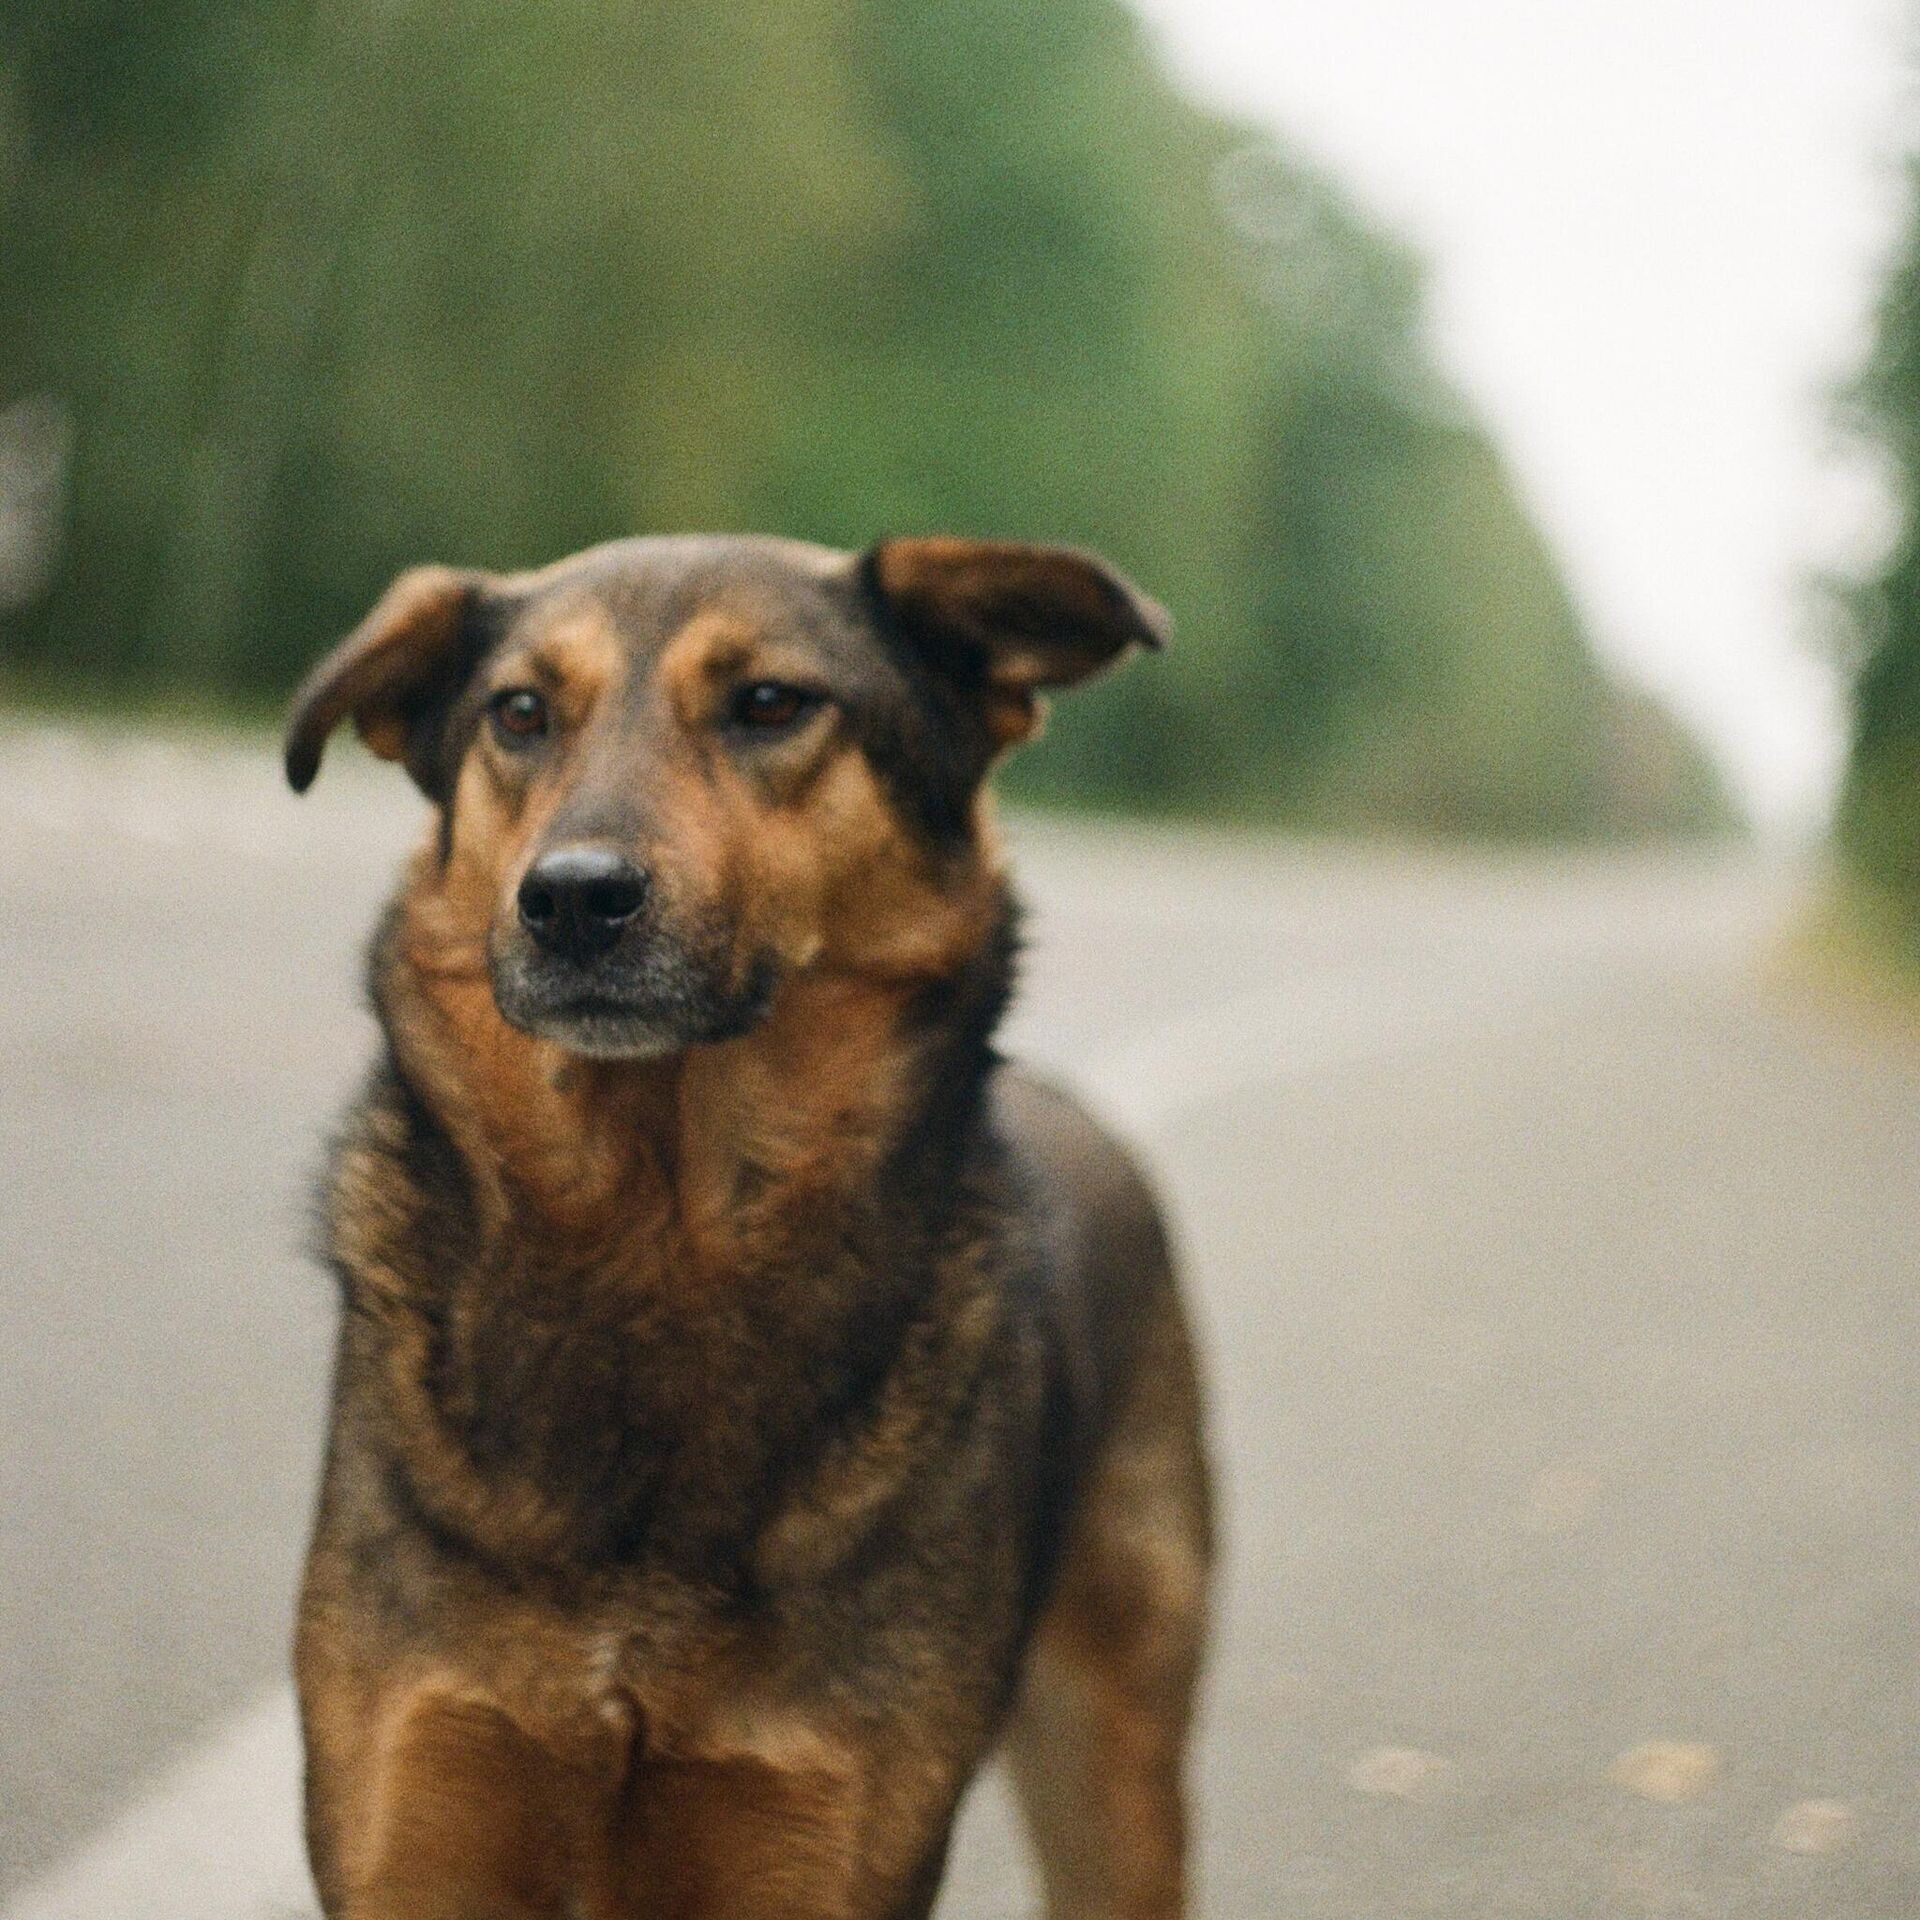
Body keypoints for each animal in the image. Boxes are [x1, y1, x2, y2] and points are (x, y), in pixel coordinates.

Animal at [280, 529, 1213, 1920]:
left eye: (771, 703)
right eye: (520, 713)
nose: (572, 900)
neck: (654, 1232)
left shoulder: (815, 1837)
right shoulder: (416, 1825)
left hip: (1118, 1764)